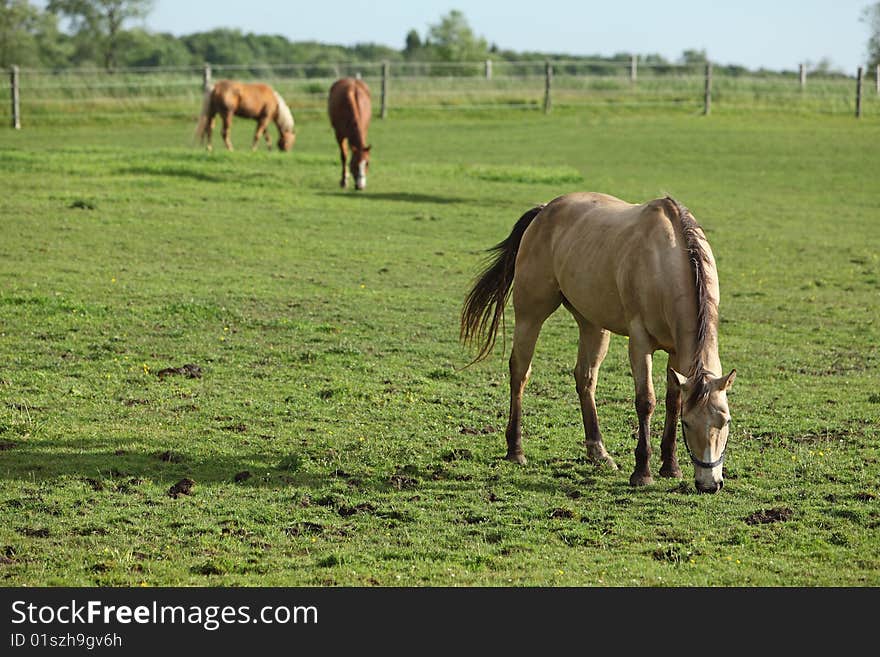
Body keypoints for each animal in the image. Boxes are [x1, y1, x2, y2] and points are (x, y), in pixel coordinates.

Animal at [460, 193, 736, 492]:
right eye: (687, 424)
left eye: (725, 421)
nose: (709, 484)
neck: (666, 258)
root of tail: (545, 210)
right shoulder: (639, 342)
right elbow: (646, 401)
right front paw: (642, 472)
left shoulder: (676, 351)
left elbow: (672, 401)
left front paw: (671, 467)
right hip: (529, 315)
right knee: (520, 373)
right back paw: (516, 449)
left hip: (592, 324)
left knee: (585, 378)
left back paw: (598, 452)